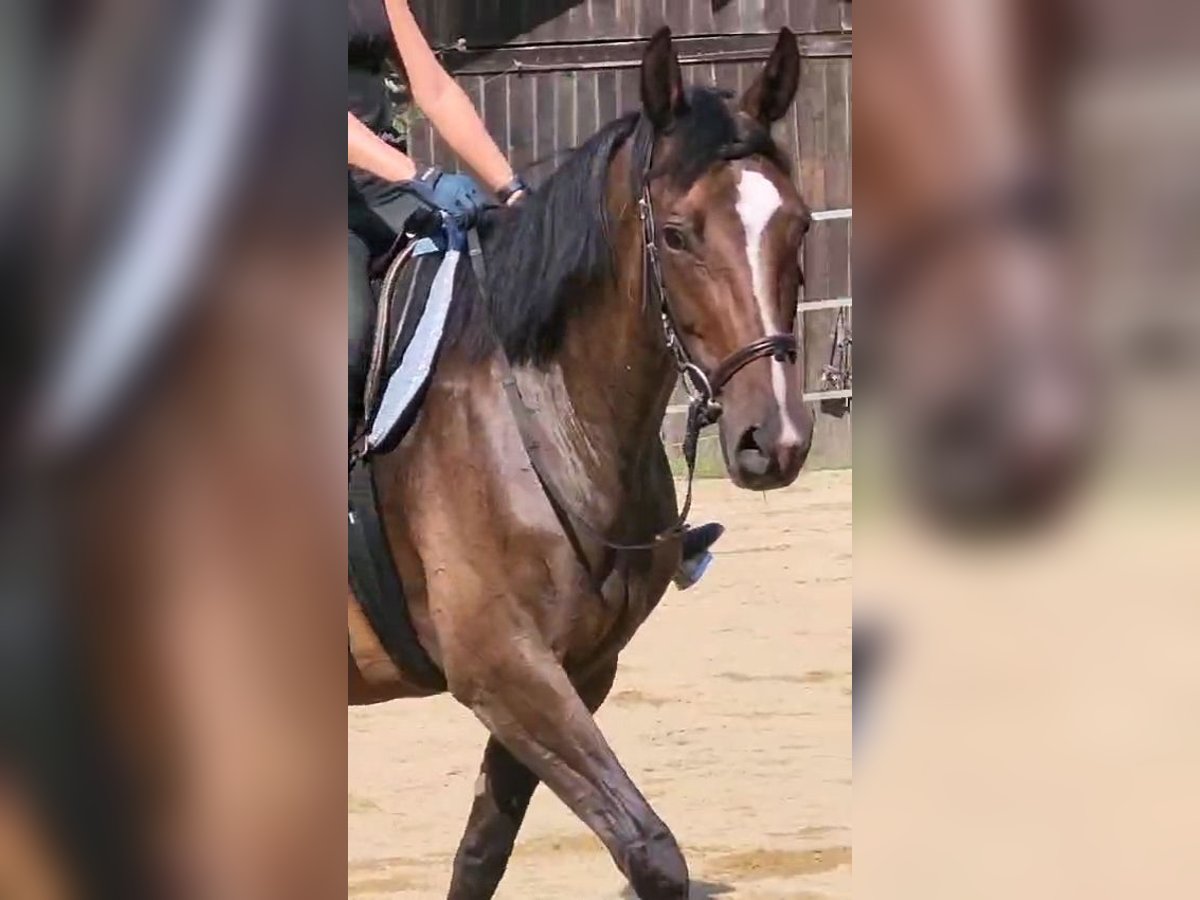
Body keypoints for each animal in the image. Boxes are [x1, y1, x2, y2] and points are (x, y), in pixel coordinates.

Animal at [348, 28, 816, 900]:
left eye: (798, 227)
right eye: (677, 234)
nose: (774, 440)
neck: (539, 408)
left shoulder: (580, 667)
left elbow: (482, 852)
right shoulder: (503, 667)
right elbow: (650, 850)